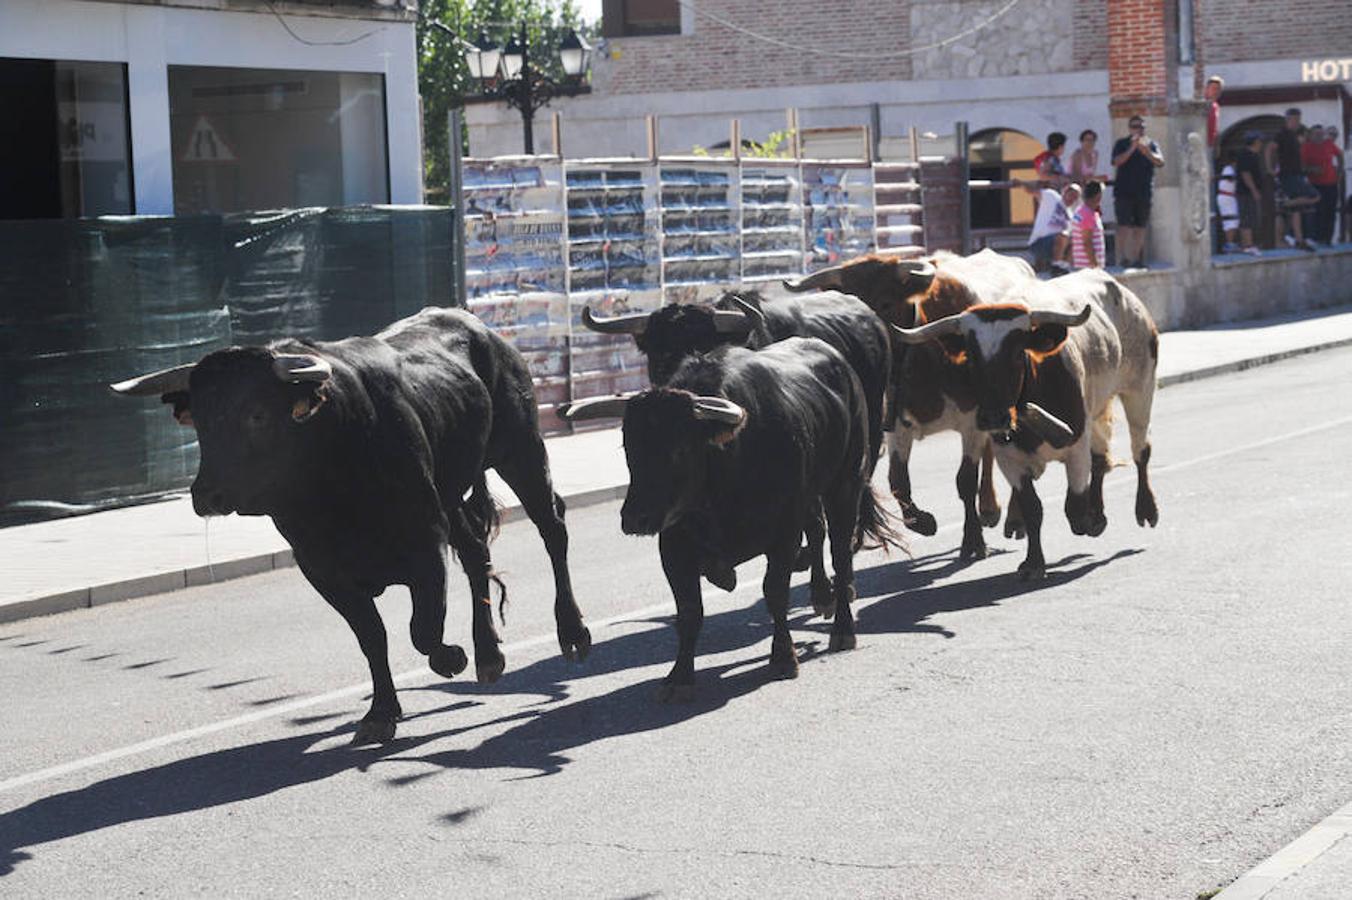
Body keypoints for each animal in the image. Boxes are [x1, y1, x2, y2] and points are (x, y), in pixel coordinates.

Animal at [109, 305, 586, 740]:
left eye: (257, 414)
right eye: (201, 423)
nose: (207, 495)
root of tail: (478, 327)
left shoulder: (425, 542)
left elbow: (423, 629)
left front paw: (450, 657)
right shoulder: (321, 569)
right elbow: (372, 637)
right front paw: (381, 713)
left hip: (521, 449)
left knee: (552, 529)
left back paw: (572, 632)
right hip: (453, 494)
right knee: (475, 551)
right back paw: (488, 654)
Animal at [559, 336, 897, 691]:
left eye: (679, 449)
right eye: (629, 447)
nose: (636, 518)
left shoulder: (783, 534)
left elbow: (775, 592)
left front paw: (782, 657)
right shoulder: (673, 546)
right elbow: (689, 611)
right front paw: (680, 675)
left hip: (845, 482)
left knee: (841, 554)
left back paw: (843, 629)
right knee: (818, 531)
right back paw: (821, 596)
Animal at [886, 266, 1162, 578]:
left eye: (1018, 354)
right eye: (971, 358)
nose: (994, 416)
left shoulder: (1076, 447)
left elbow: (1075, 511)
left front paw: (1092, 521)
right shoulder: (1010, 457)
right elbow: (1034, 508)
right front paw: (1034, 562)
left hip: (1140, 387)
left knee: (1140, 450)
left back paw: (1145, 509)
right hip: (1099, 404)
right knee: (1102, 458)